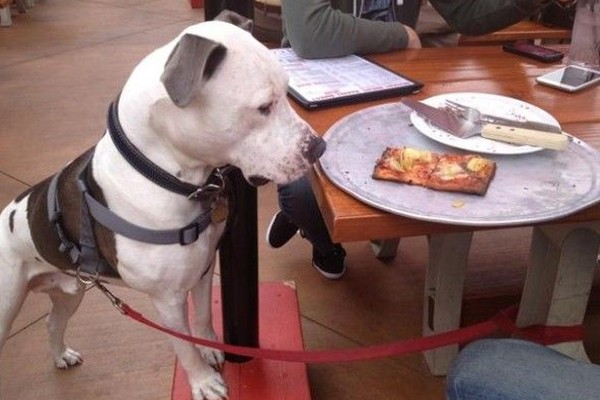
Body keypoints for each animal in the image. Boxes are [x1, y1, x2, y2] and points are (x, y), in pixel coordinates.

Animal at [0, 16, 326, 400]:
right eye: (263, 107)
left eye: (288, 91)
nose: (318, 148)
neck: (164, 175)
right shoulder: (167, 300)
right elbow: (184, 347)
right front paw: (203, 381)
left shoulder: (204, 268)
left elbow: (202, 317)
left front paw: (211, 346)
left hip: (70, 291)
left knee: (53, 323)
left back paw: (61, 355)